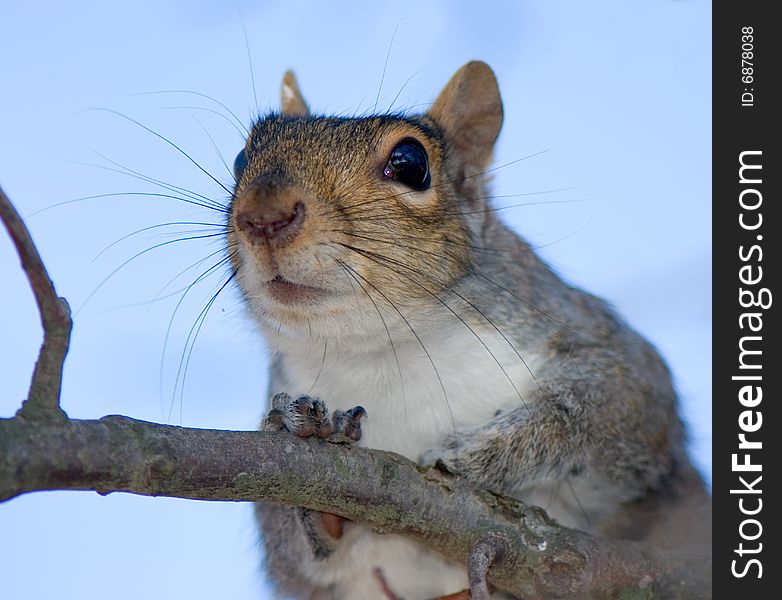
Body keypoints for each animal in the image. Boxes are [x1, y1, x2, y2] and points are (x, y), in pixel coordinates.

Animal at [225, 62, 712, 600]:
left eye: (411, 163)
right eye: (241, 158)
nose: (263, 215)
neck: (383, 353)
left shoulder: (602, 349)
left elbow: (600, 409)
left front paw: (480, 453)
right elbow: (292, 552)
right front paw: (305, 440)